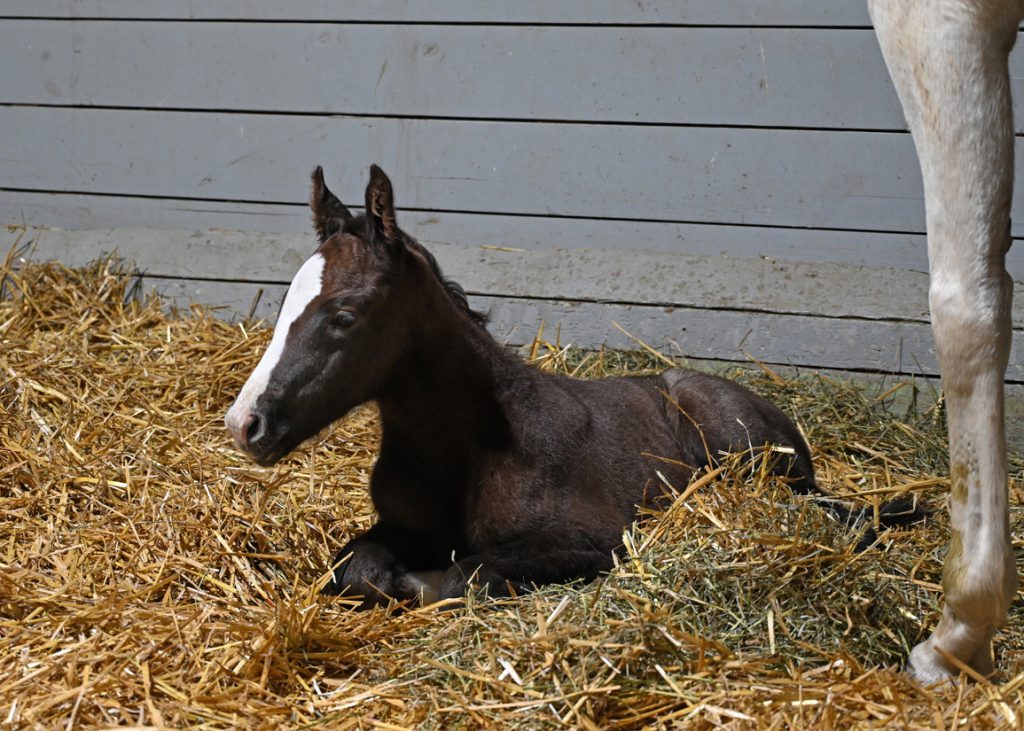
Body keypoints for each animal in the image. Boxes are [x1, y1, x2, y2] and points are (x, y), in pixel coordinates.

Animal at [225, 165, 915, 609]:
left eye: (343, 316)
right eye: (285, 302)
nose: (245, 424)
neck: (472, 446)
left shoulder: (594, 541)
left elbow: (455, 578)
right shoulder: (399, 526)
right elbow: (357, 569)